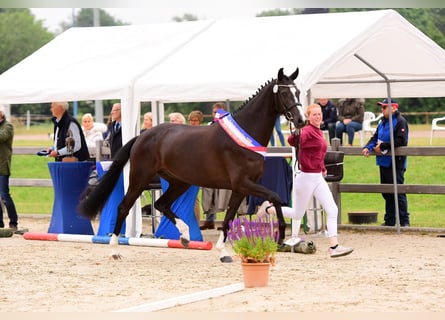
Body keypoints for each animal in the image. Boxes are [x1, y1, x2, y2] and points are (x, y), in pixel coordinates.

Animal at [77, 67, 306, 260]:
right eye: (285, 93)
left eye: (299, 92)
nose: (301, 121)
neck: (245, 135)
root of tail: (142, 136)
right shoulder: (243, 183)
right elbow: (274, 197)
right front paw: (281, 236)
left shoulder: (241, 188)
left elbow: (229, 217)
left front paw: (223, 252)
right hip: (139, 179)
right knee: (124, 207)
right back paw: (114, 250)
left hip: (179, 182)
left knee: (161, 204)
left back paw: (186, 236)